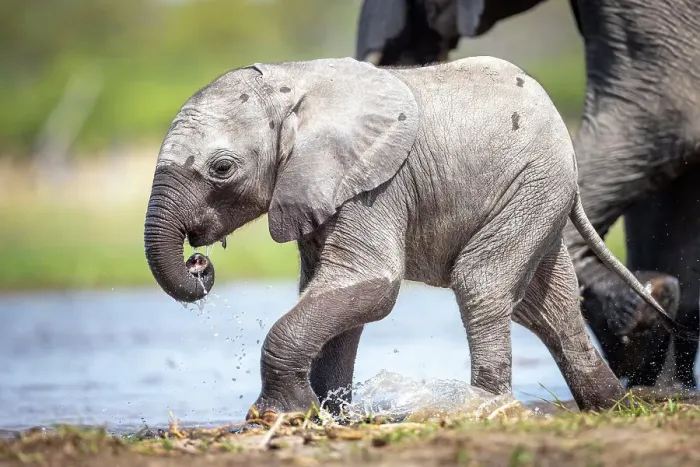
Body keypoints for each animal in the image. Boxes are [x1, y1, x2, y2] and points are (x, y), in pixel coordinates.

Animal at [143, 56, 682, 421]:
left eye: (222, 168)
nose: (198, 262)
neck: (292, 82)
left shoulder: (377, 185)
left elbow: (371, 284)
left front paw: (279, 415)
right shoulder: (320, 188)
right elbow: (332, 290)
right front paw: (330, 416)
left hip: (534, 183)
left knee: (481, 284)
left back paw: (487, 408)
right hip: (537, 195)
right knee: (547, 308)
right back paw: (613, 404)